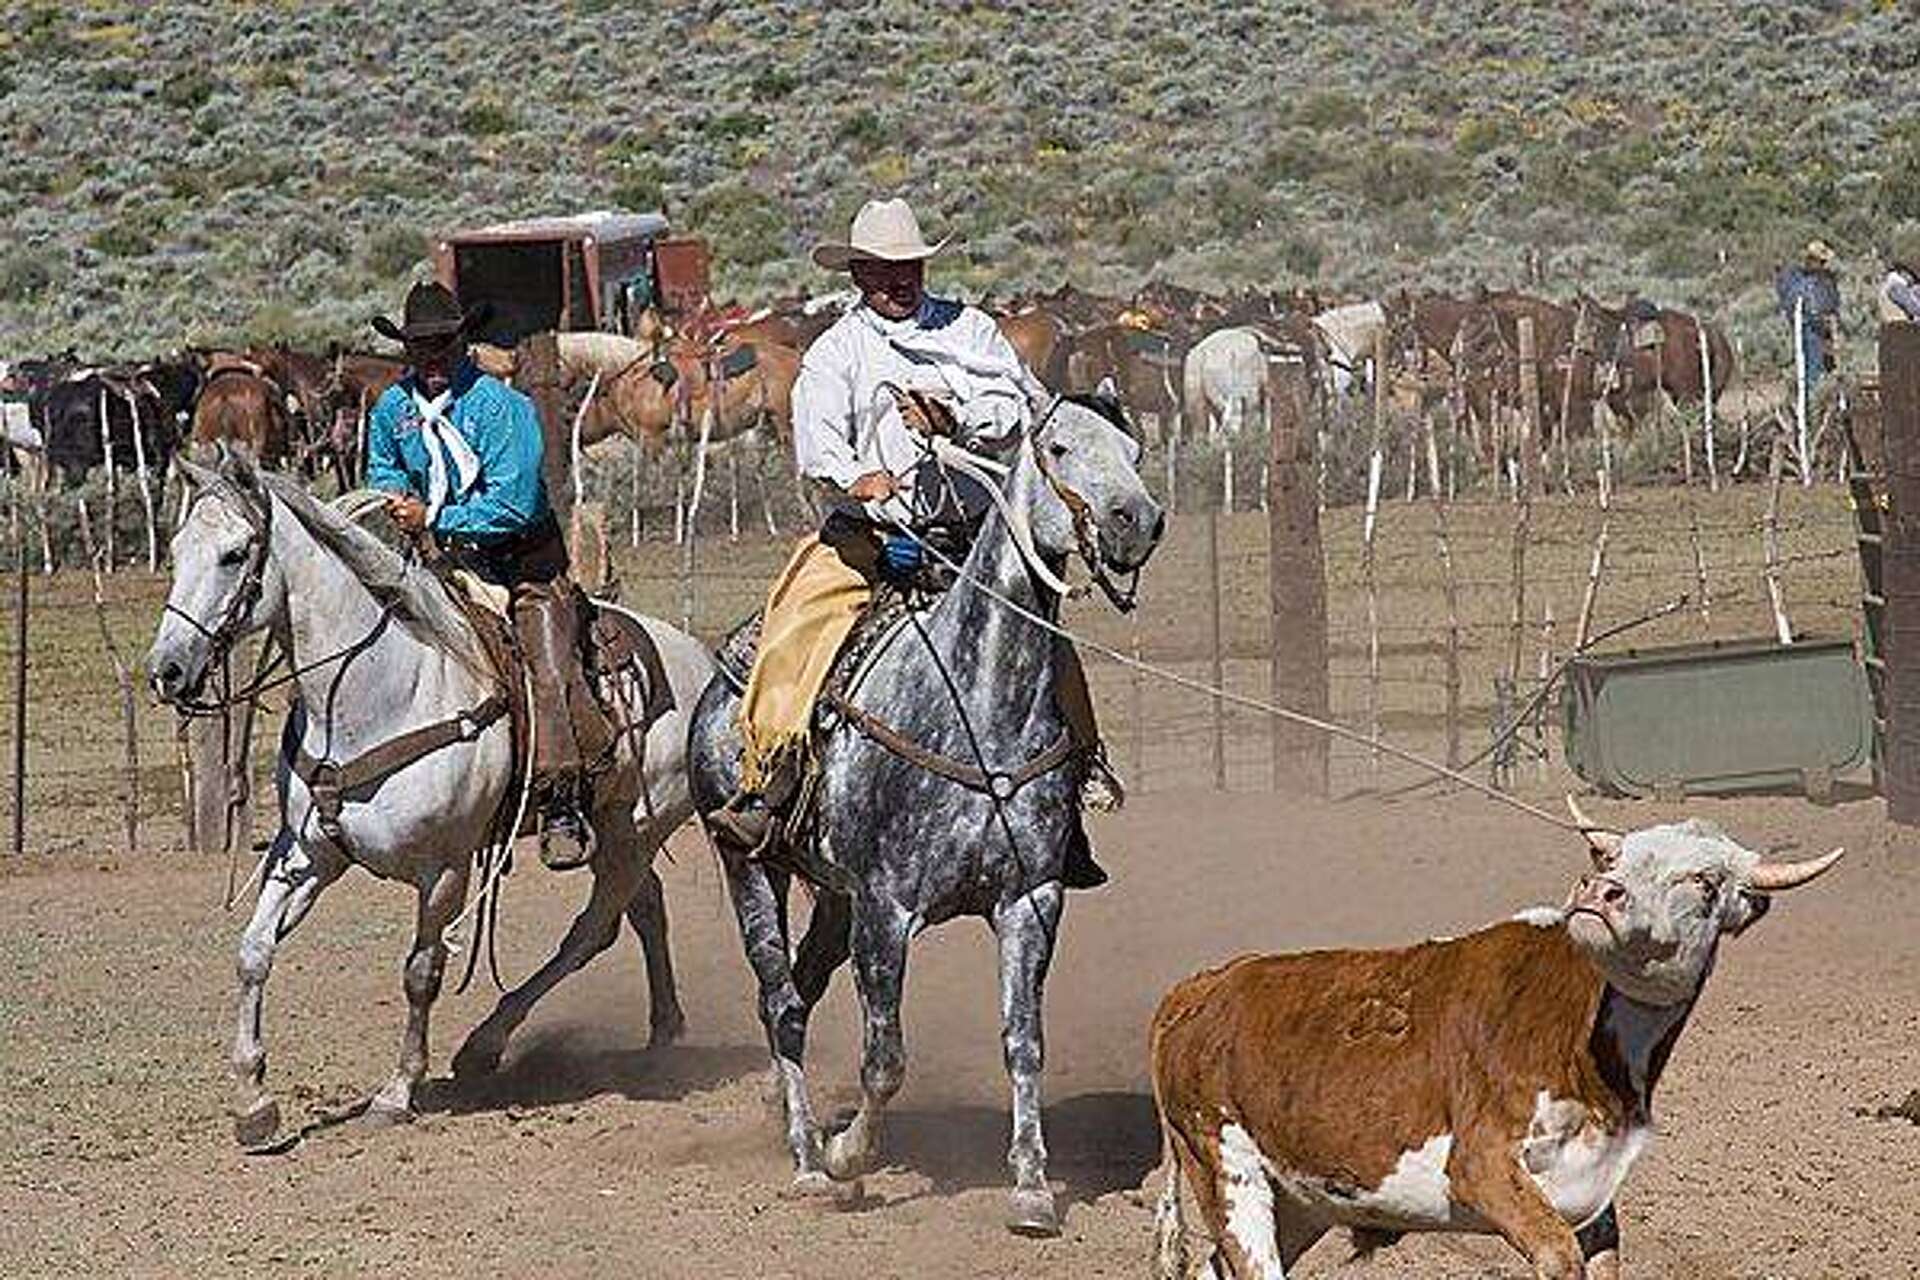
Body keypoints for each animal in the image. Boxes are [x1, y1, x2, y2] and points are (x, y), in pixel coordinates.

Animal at [1148, 799, 1842, 1280]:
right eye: (1613, 860)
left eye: (1704, 881)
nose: (1599, 891)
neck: (1586, 1047)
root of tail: (1202, 985)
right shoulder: (1482, 1167)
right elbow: (1555, 1255)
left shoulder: (1594, 1200)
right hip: (1225, 1167)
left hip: (1301, 1198)